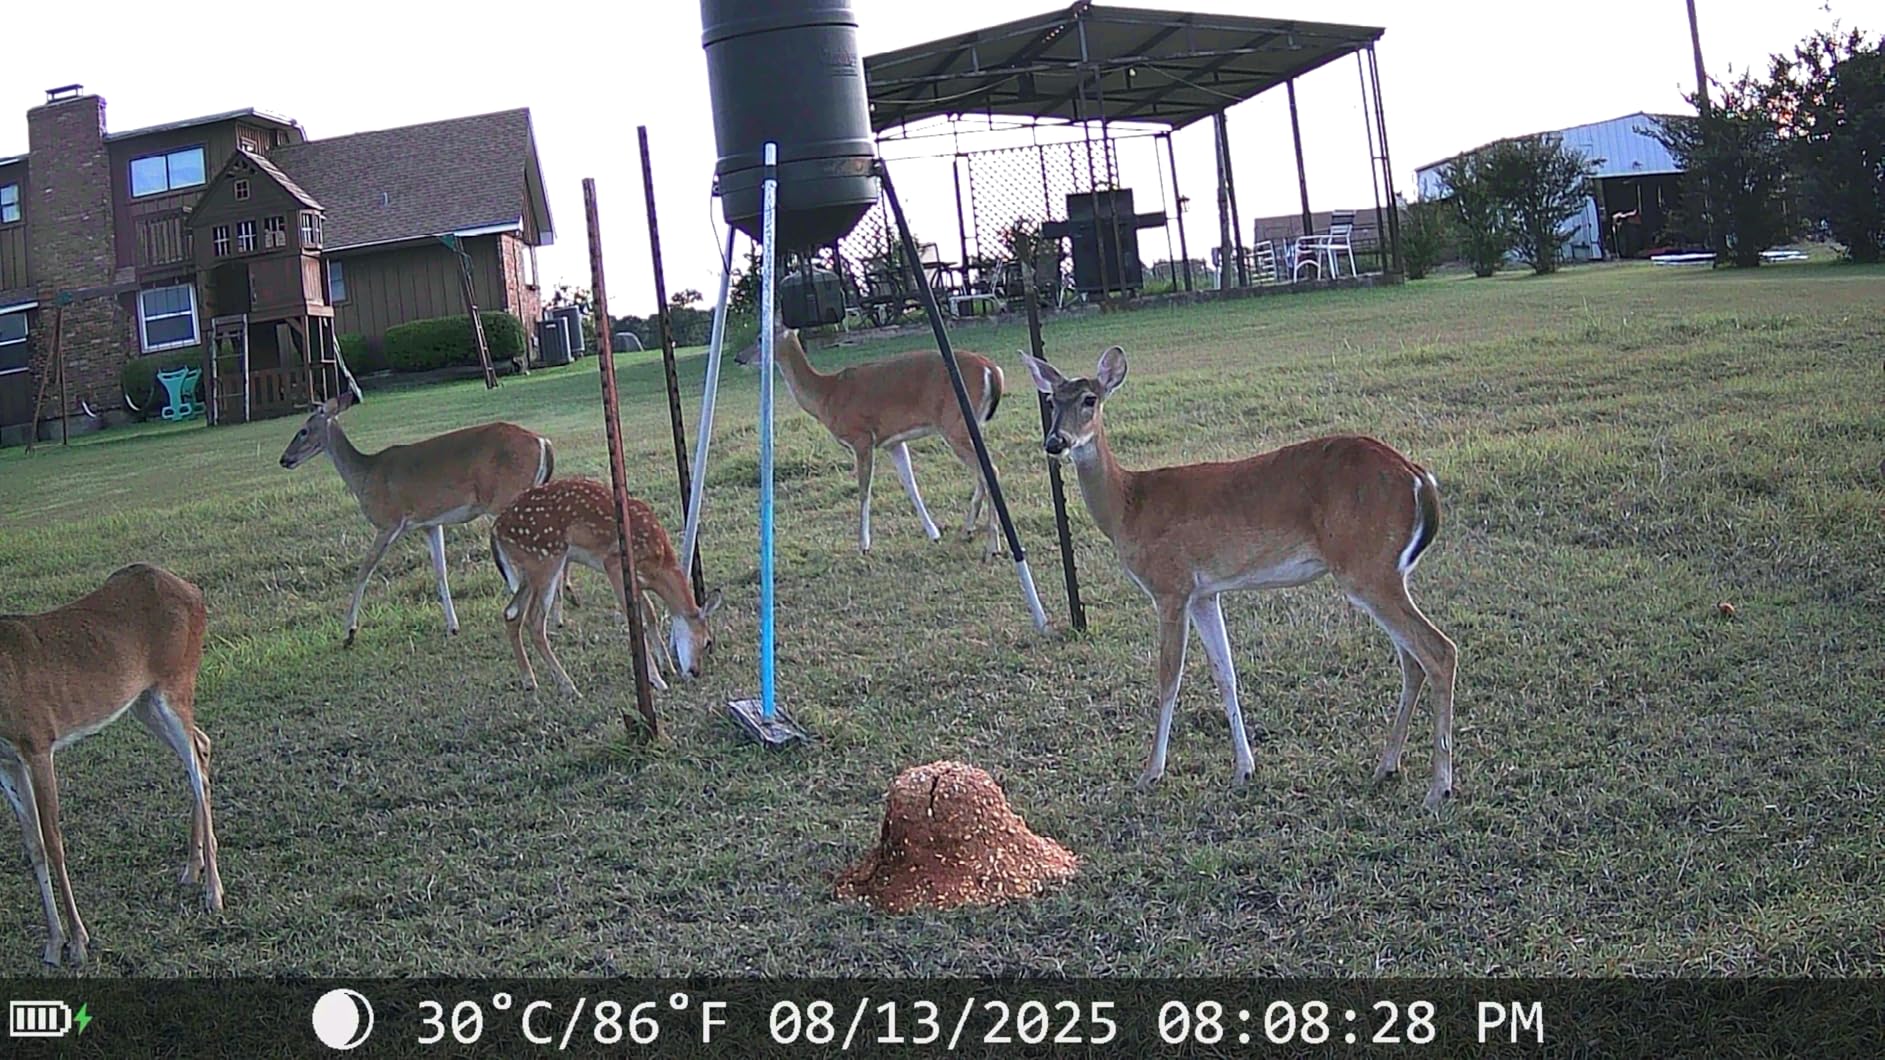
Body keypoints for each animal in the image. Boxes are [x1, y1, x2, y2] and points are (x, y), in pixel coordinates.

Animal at [0, 564, 224, 965]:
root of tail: (192, 589)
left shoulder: (38, 742)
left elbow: (53, 842)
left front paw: (77, 942)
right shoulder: (8, 760)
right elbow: (33, 844)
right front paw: (53, 943)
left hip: (176, 681)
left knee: (197, 768)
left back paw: (213, 893)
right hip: (144, 700)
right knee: (201, 746)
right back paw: (191, 869)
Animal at [279, 389, 573, 646]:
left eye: (302, 430)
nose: (284, 459)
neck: (366, 476)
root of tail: (543, 442)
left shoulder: (389, 521)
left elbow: (365, 569)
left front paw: (349, 632)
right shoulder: (430, 523)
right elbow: (440, 571)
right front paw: (452, 626)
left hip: (507, 498)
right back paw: (557, 615)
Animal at [490, 477, 723, 698]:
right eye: (707, 642)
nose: (695, 671)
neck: (659, 565)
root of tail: (496, 528)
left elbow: (650, 613)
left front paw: (666, 665)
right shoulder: (613, 564)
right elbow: (638, 616)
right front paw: (657, 679)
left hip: (530, 571)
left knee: (511, 613)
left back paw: (529, 681)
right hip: (546, 558)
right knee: (534, 621)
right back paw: (568, 686)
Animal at [734, 323, 1006, 559]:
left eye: (760, 337)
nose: (738, 358)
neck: (827, 395)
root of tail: (992, 370)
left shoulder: (862, 437)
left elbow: (864, 490)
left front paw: (863, 544)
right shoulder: (892, 442)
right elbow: (910, 484)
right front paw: (933, 533)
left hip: (954, 423)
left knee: (989, 470)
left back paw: (992, 545)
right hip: (971, 425)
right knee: (983, 472)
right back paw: (968, 530)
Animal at [1022, 346, 1460, 811]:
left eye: (1090, 399)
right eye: (1051, 401)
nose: (1055, 442)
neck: (1128, 505)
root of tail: (1418, 476)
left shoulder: (1170, 585)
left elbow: (1168, 676)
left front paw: (1150, 773)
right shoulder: (1204, 593)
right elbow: (1225, 674)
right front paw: (1244, 768)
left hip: (1367, 567)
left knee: (1439, 651)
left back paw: (1438, 787)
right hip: (1385, 570)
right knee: (1412, 660)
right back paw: (1387, 766)